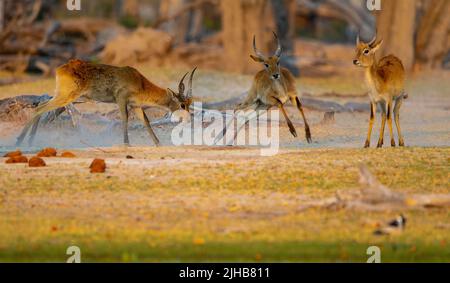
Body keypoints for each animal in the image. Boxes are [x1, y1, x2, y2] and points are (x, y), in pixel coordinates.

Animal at [16, 60, 196, 148]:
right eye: (182, 105)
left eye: (189, 103)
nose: (189, 119)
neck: (140, 82)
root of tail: (60, 69)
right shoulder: (121, 99)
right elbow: (125, 118)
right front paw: (127, 143)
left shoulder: (136, 105)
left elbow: (146, 121)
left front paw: (158, 143)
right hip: (67, 96)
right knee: (40, 108)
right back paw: (19, 141)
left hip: (70, 97)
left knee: (41, 104)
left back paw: (29, 141)